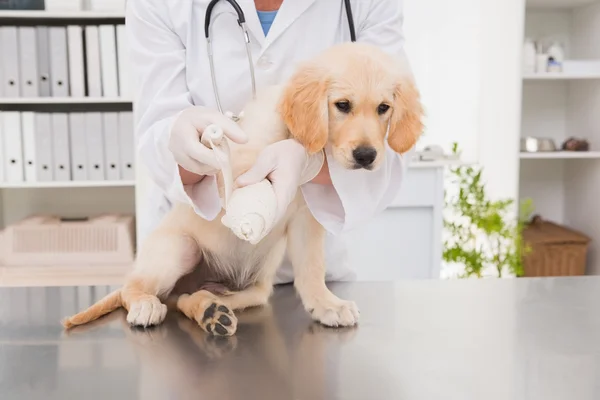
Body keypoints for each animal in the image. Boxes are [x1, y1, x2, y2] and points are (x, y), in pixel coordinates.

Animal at [61, 41, 422, 334]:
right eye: (343, 105)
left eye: (383, 108)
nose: (366, 156)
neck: (296, 135)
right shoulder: (235, 172)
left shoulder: (307, 220)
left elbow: (311, 268)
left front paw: (325, 304)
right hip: (180, 248)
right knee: (132, 287)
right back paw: (147, 304)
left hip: (260, 276)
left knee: (192, 298)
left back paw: (212, 311)